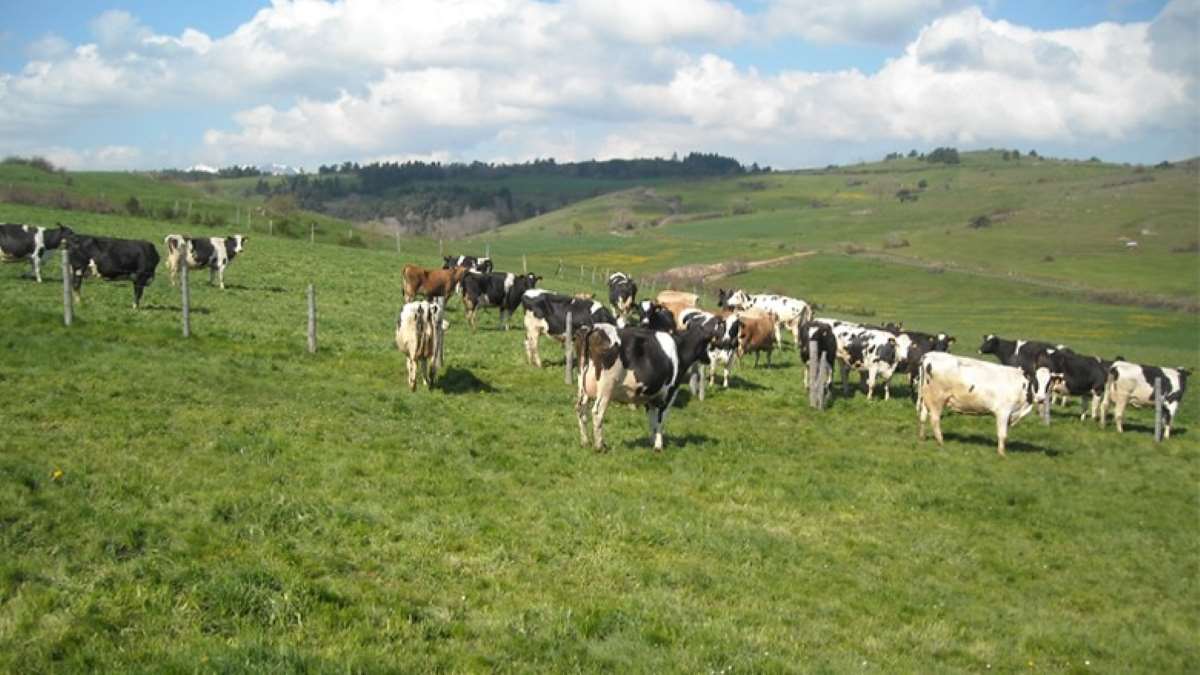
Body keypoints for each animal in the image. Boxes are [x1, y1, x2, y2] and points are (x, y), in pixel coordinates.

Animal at [573, 320, 721, 451]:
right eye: (709, 343)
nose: (709, 359)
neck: (679, 349)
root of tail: (595, 327)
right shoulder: (669, 392)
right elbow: (661, 420)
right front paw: (658, 446)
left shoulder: (651, 396)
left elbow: (652, 421)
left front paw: (652, 441)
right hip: (606, 388)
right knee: (597, 412)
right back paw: (600, 446)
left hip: (583, 386)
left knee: (581, 409)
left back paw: (585, 442)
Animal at [917, 351, 1058, 456]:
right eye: (1035, 380)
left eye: (1049, 382)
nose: (1041, 399)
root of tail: (929, 355)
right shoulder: (1003, 412)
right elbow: (1002, 434)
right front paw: (1001, 454)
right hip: (936, 399)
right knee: (935, 419)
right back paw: (940, 442)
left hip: (926, 398)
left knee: (923, 417)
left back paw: (922, 437)